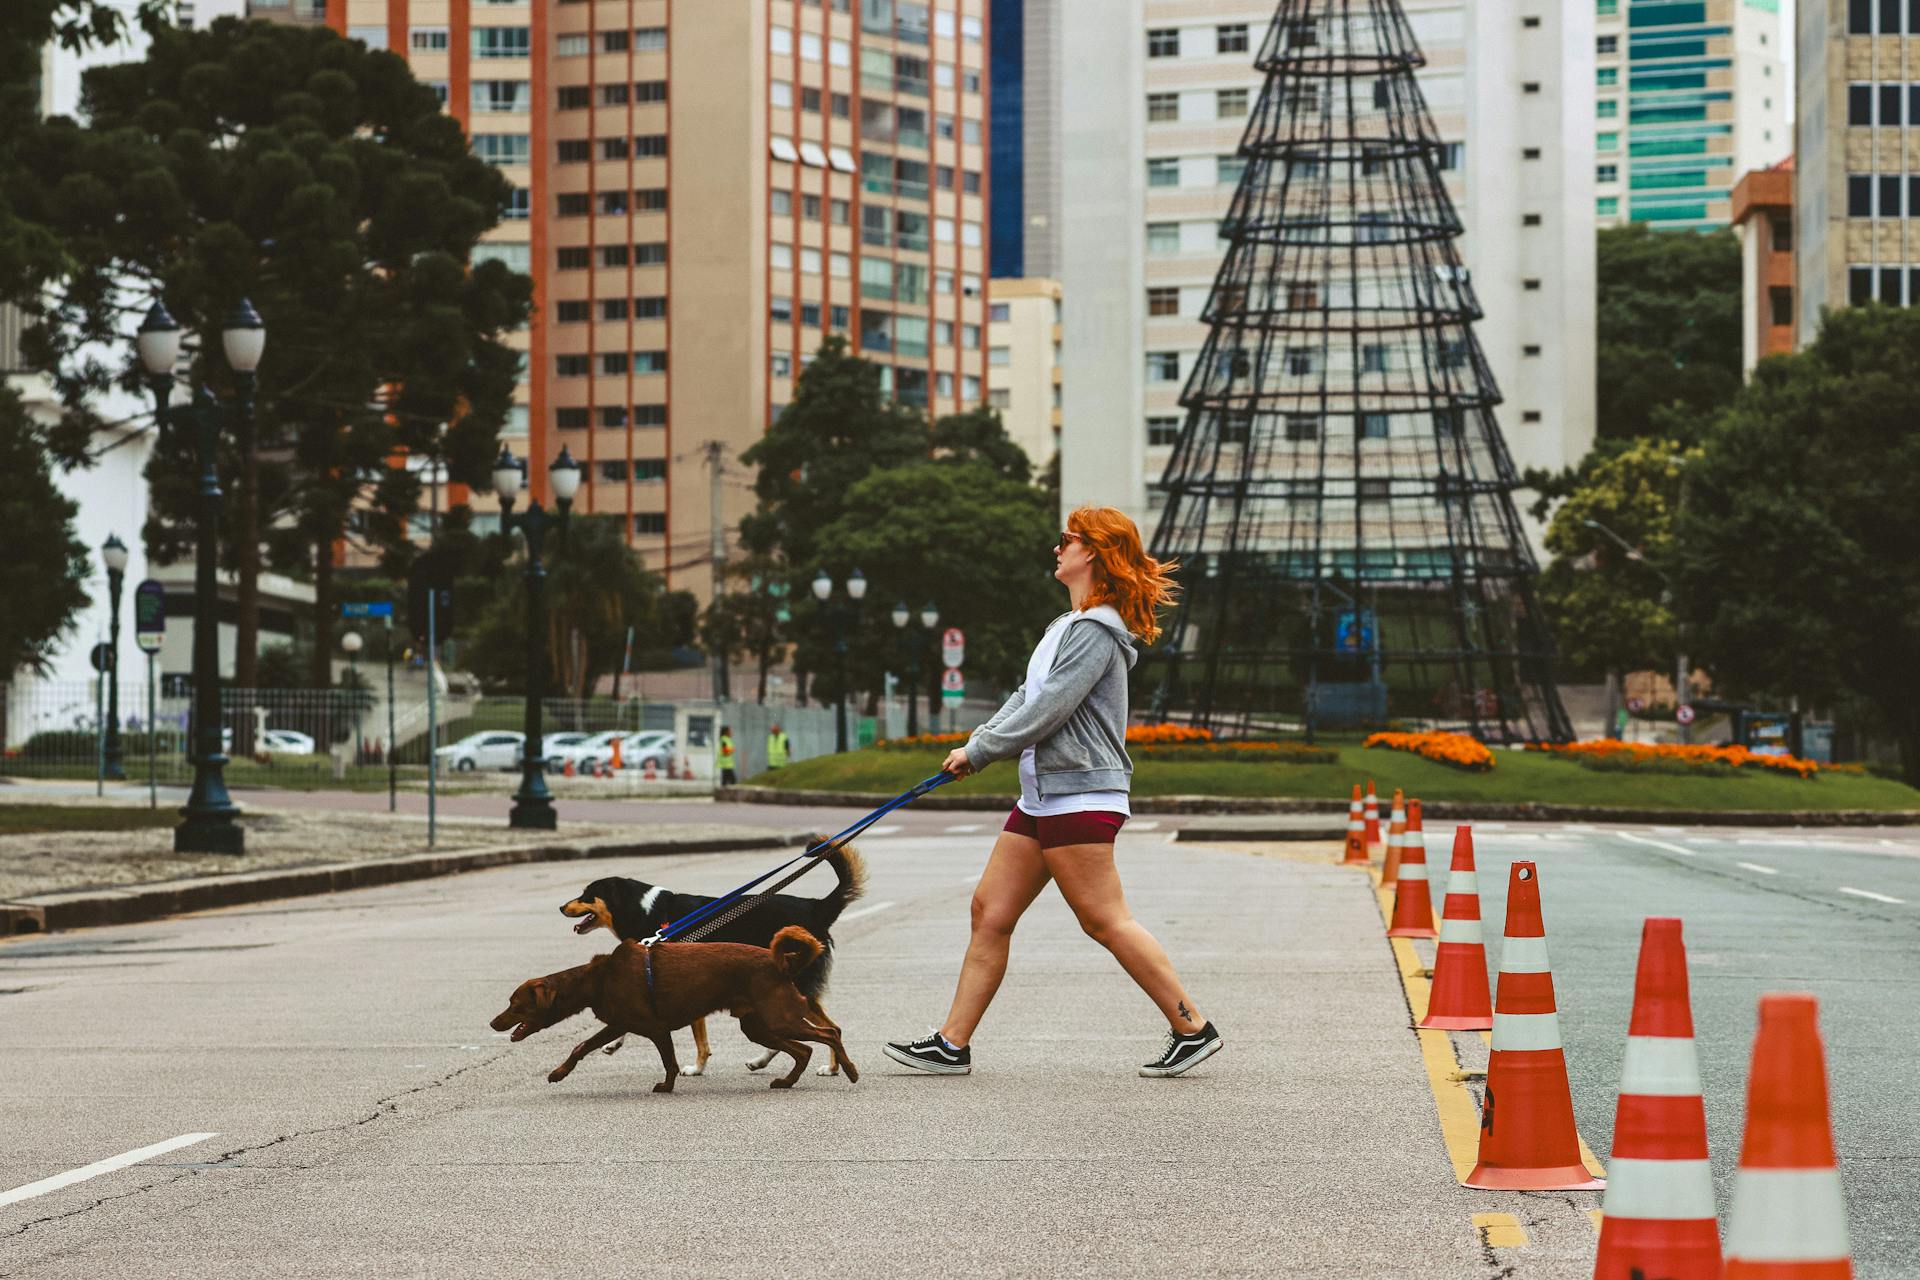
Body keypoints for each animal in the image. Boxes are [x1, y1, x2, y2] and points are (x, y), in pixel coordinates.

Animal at [487, 924, 864, 1097]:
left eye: (515, 1004)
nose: (492, 1023)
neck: (596, 979)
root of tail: (781, 963)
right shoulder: (634, 1026)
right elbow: (582, 1046)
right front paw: (559, 1072)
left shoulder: (649, 1027)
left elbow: (664, 1060)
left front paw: (666, 1086)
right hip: (759, 1025)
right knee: (803, 1050)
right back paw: (787, 1081)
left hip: (778, 1018)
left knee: (829, 1033)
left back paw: (848, 1069)